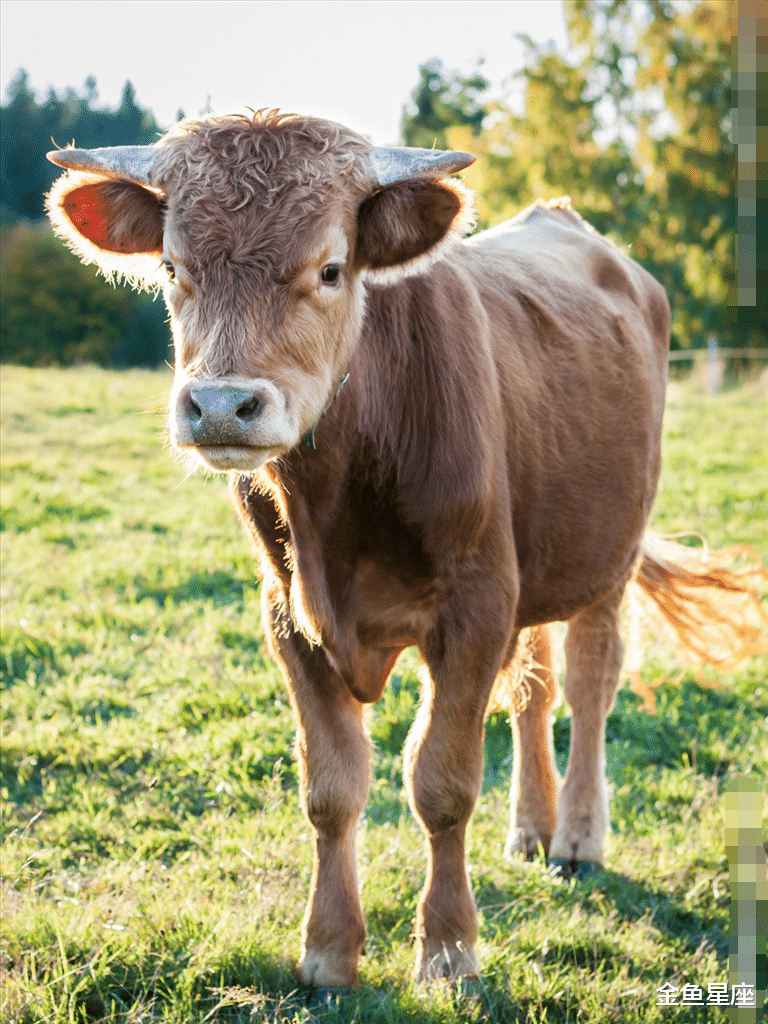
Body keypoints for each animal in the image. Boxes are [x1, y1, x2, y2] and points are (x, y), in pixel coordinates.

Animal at [45, 108, 765, 987]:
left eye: (330, 268)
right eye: (174, 266)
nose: (220, 406)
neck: (337, 510)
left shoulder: (473, 609)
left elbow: (441, 784)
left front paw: (449, 950)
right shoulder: (290, 617)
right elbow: (331, 789)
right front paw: (328, 953)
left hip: (605, 558)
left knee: (591, 683)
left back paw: (577, 837)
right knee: (534, 693)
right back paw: (531, 829)